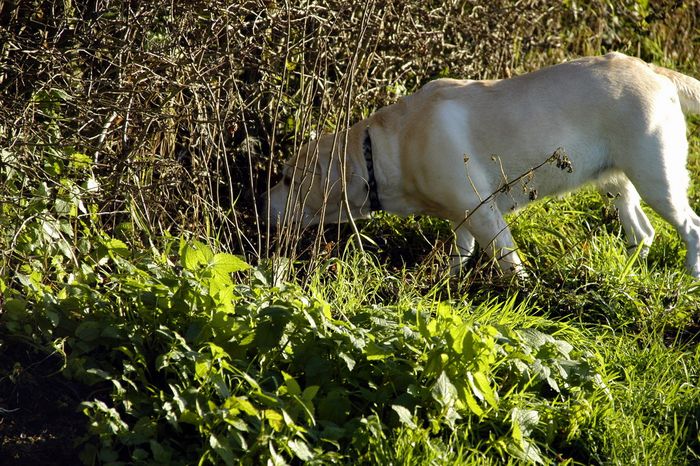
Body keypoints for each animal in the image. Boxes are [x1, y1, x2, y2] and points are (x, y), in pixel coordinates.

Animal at [266, 52, 700, 276]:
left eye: (287, 178)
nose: (257, 204)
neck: (387, 149)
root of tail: (652, 69)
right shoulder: (462, 218)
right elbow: (459, 255)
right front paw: (444, 284)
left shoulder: (485, 214)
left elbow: (509, 264)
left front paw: (523, 294)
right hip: (617, 184)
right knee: (643, 232)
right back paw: (626, 273)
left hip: (658, 180)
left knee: (691, 227)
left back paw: (690, 274)